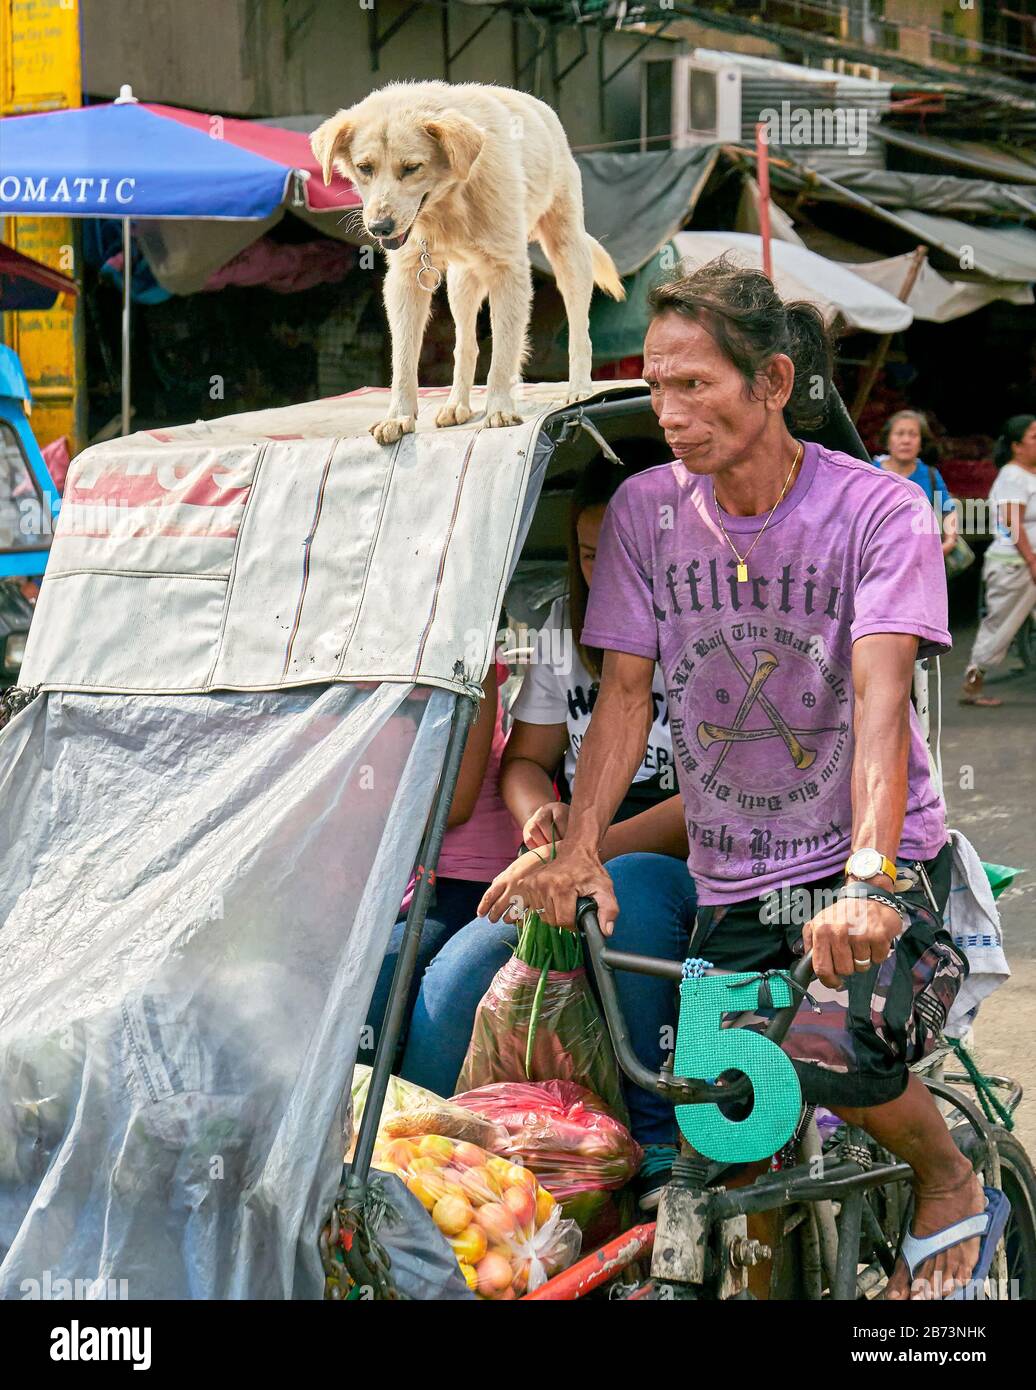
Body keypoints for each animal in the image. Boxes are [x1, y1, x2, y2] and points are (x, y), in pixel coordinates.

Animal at [311, 79, 625, 444]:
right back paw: (456, 404)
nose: (379, 228)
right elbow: (403, 356)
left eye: (411, 168)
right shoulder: (406, 277)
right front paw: (398, 416)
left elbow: (503, 352)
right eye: (365, 168)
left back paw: (580, 388)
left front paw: (500, 408)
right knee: (466, 345)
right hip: (463, 283)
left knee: (578, 328)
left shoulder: (509, 271)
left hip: (567, 249)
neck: (448, 203)